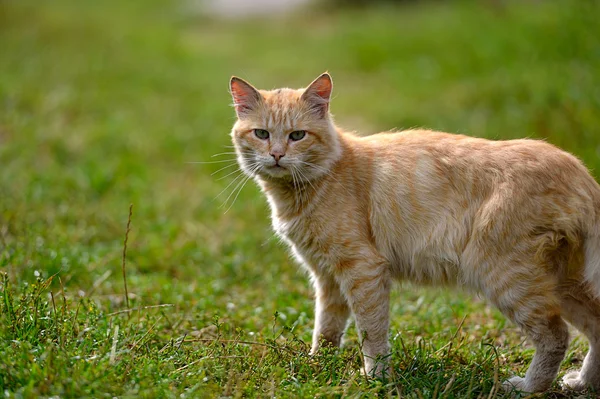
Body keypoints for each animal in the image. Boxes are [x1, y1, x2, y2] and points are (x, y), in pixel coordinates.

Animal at [226, 72, 600, 394]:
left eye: (297, 135)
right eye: (262, 134)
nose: (276, 155)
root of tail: (578, 171)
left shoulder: (362, 270)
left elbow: (371, 333)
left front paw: (375, 378)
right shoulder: (328, 277)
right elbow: (327, 328)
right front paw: (319, 365)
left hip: (506, 277)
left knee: (555, 336)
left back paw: (528, 387)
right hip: (563, 282)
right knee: (596, 326)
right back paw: (582, 383)